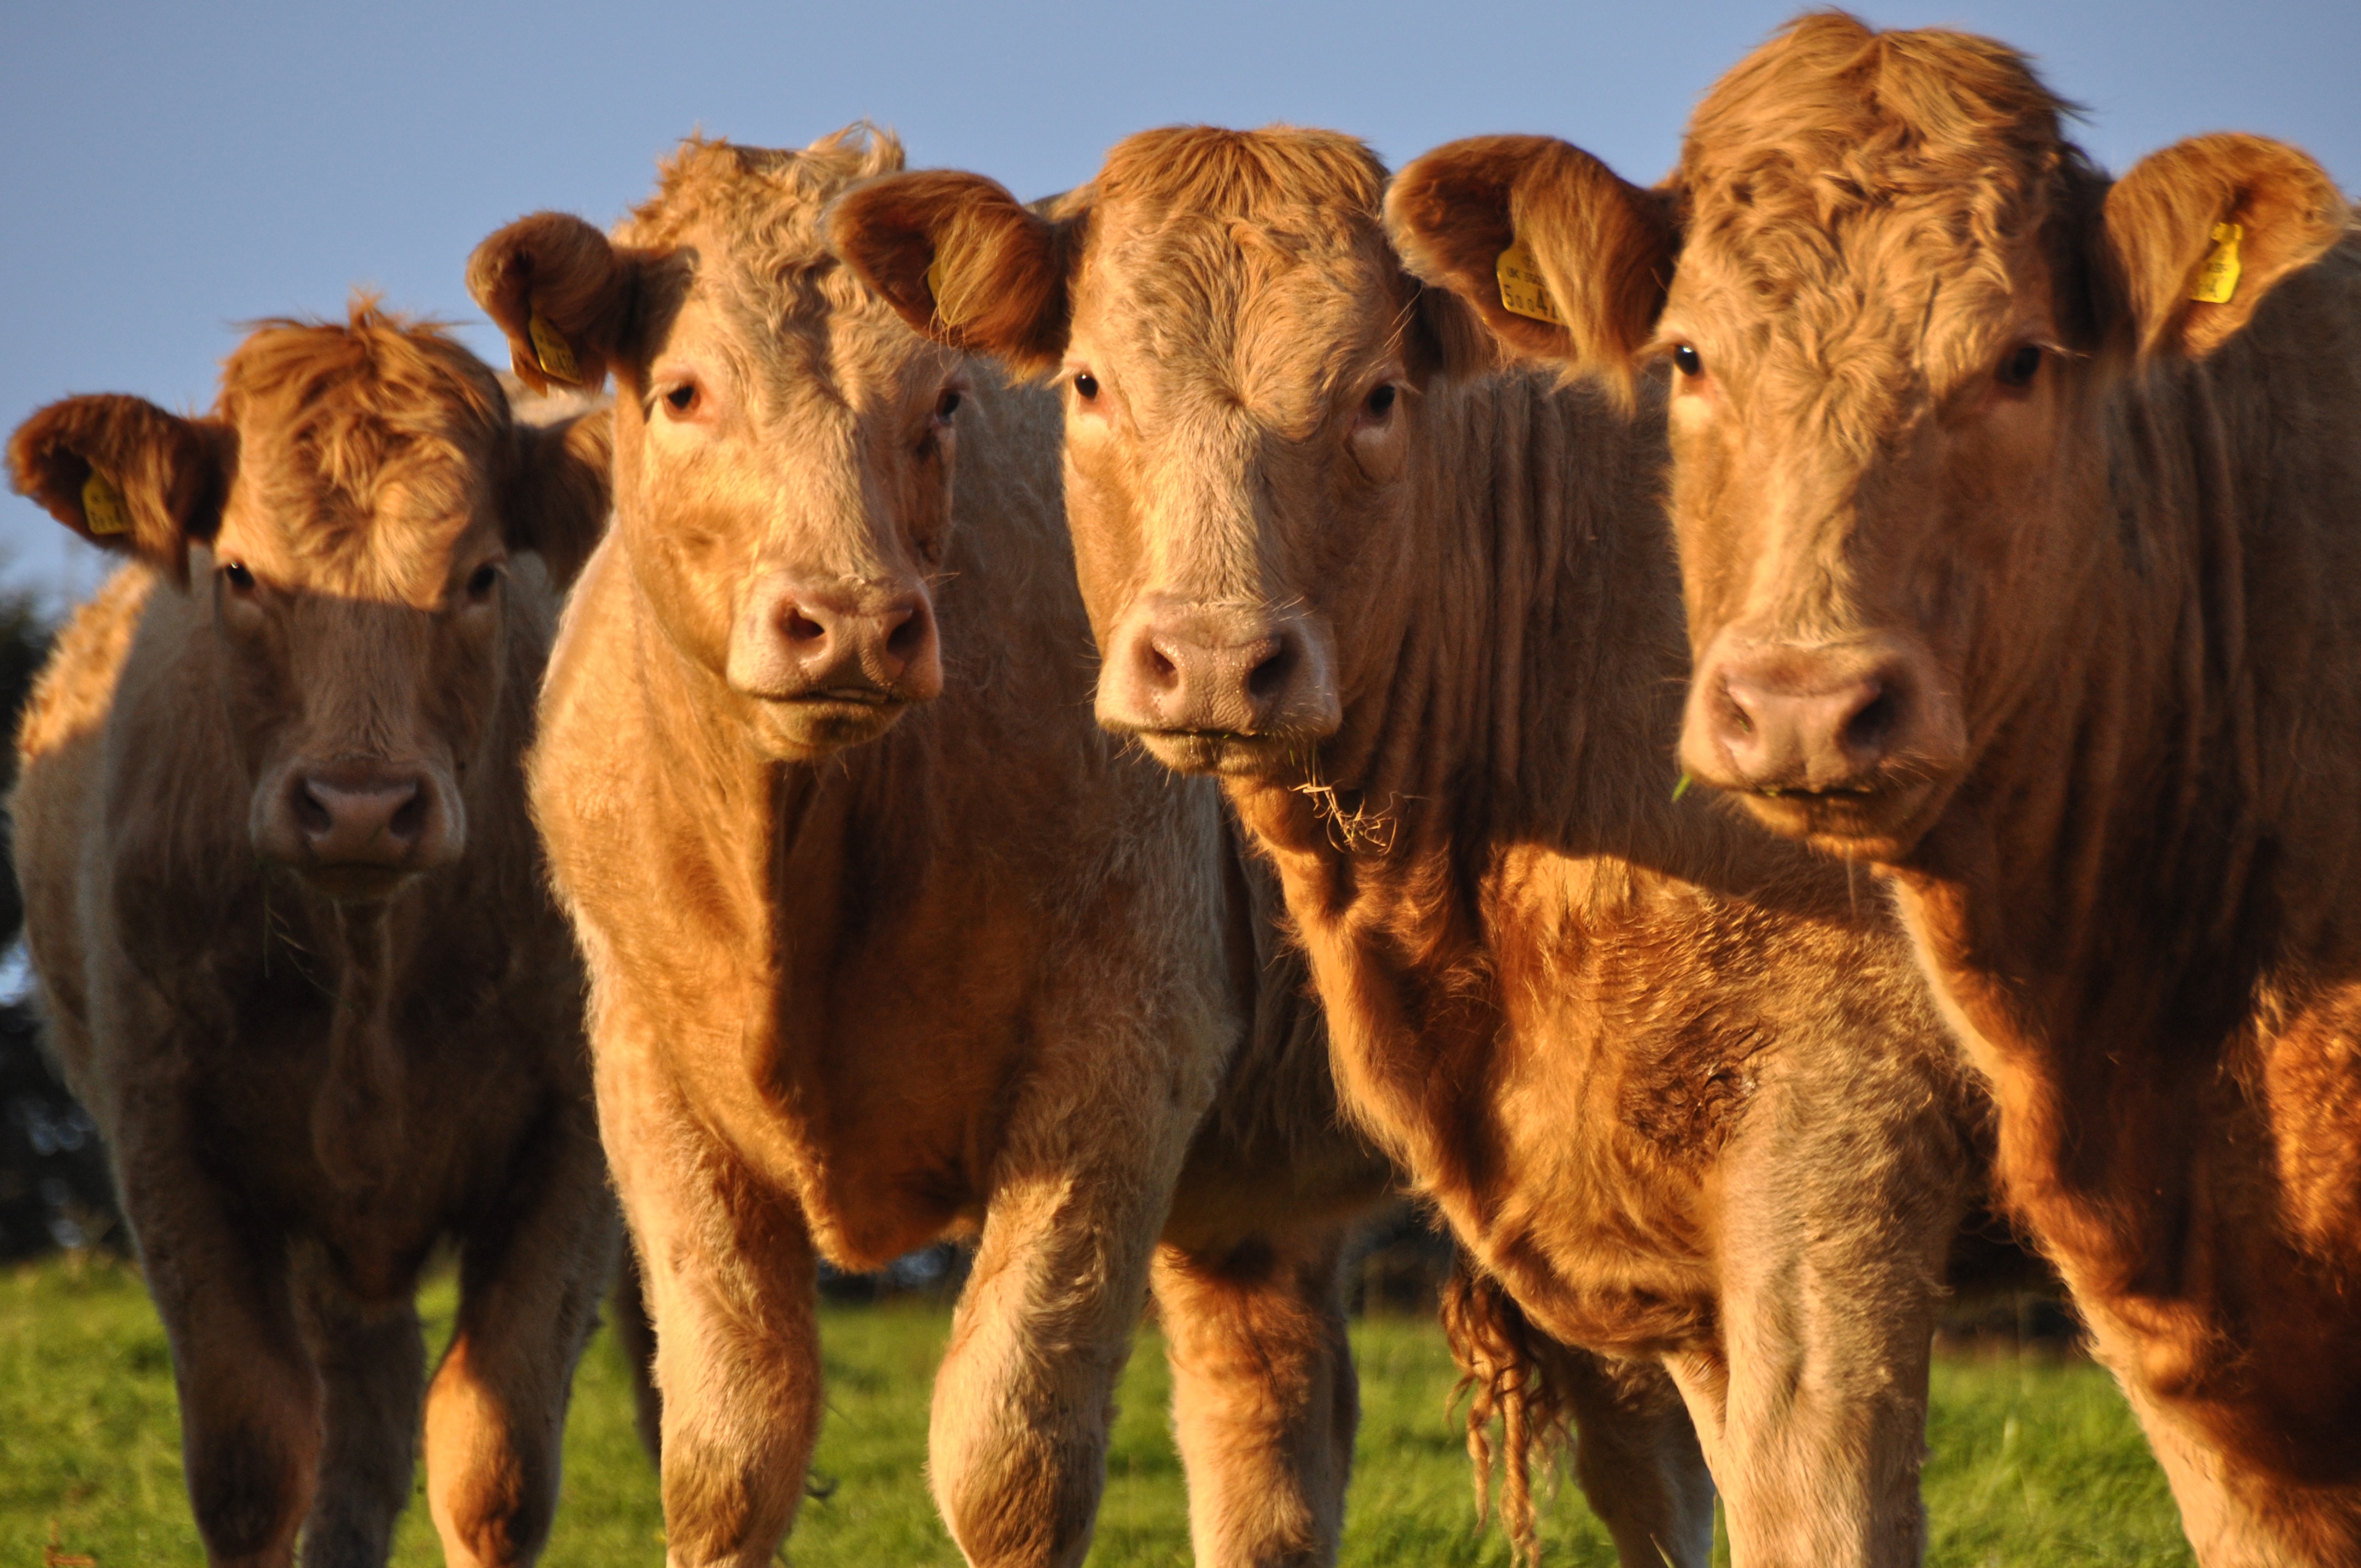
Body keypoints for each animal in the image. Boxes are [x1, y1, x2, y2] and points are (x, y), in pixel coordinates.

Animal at [6, 302, 621, 1568]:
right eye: (240, 572)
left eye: (482, 574)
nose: (360, 806)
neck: (367, 957)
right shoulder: (167, 1141)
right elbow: (253, 1457)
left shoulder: (573, 1145)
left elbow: (492, 1459)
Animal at [464, 128, 1394, 1568]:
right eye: (681, 390)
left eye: (946, 402)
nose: (848, 620)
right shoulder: (642, 1069)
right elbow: (727, 1451)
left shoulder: (1127, 1048)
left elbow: (1007, 1452)